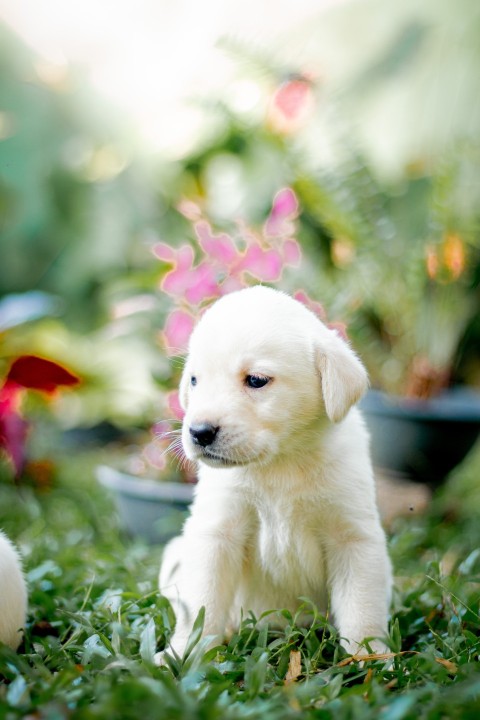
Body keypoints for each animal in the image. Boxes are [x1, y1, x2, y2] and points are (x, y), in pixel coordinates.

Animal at [159, 286, 392, 660]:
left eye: (256, 380)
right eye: (194, 380)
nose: (199, 432)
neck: (281, 461)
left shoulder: (353, 537)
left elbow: (362, 610)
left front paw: (369, 660)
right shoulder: (216, 533)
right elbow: (201, 606)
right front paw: (184, 654)